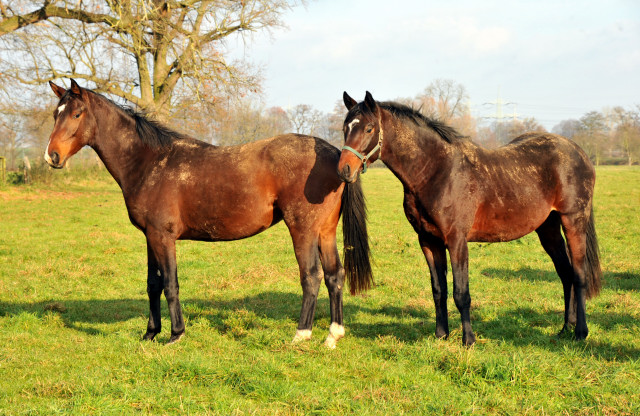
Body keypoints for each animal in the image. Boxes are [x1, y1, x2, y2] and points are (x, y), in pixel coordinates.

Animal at [46, 79, 376, 346]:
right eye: (55, 114)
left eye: (76, 114)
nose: (52, 156)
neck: (149, 162)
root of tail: (336, 154)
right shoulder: (150, 237)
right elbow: (153, 285)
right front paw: (150, 333)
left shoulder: (163, 237)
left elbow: (170, 284)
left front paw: (175, 334)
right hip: (325, 232)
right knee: (334, 275)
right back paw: (333, 335)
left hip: (303, 230)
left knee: (311, 277)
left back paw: (301, 334)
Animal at [338, 91, 604, 344]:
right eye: (345, 128)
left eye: (369, 128)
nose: (344, 170)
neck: (436, 171)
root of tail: (579, 152)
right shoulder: (428, 241)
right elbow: (439, 290)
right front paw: (441, 335)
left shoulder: (456, 240)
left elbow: (461, 293)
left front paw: (468, 339)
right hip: (548, 229)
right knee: (566, 274)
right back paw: (565, 328)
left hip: (573, 221)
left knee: (579, 275)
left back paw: (581, 332)